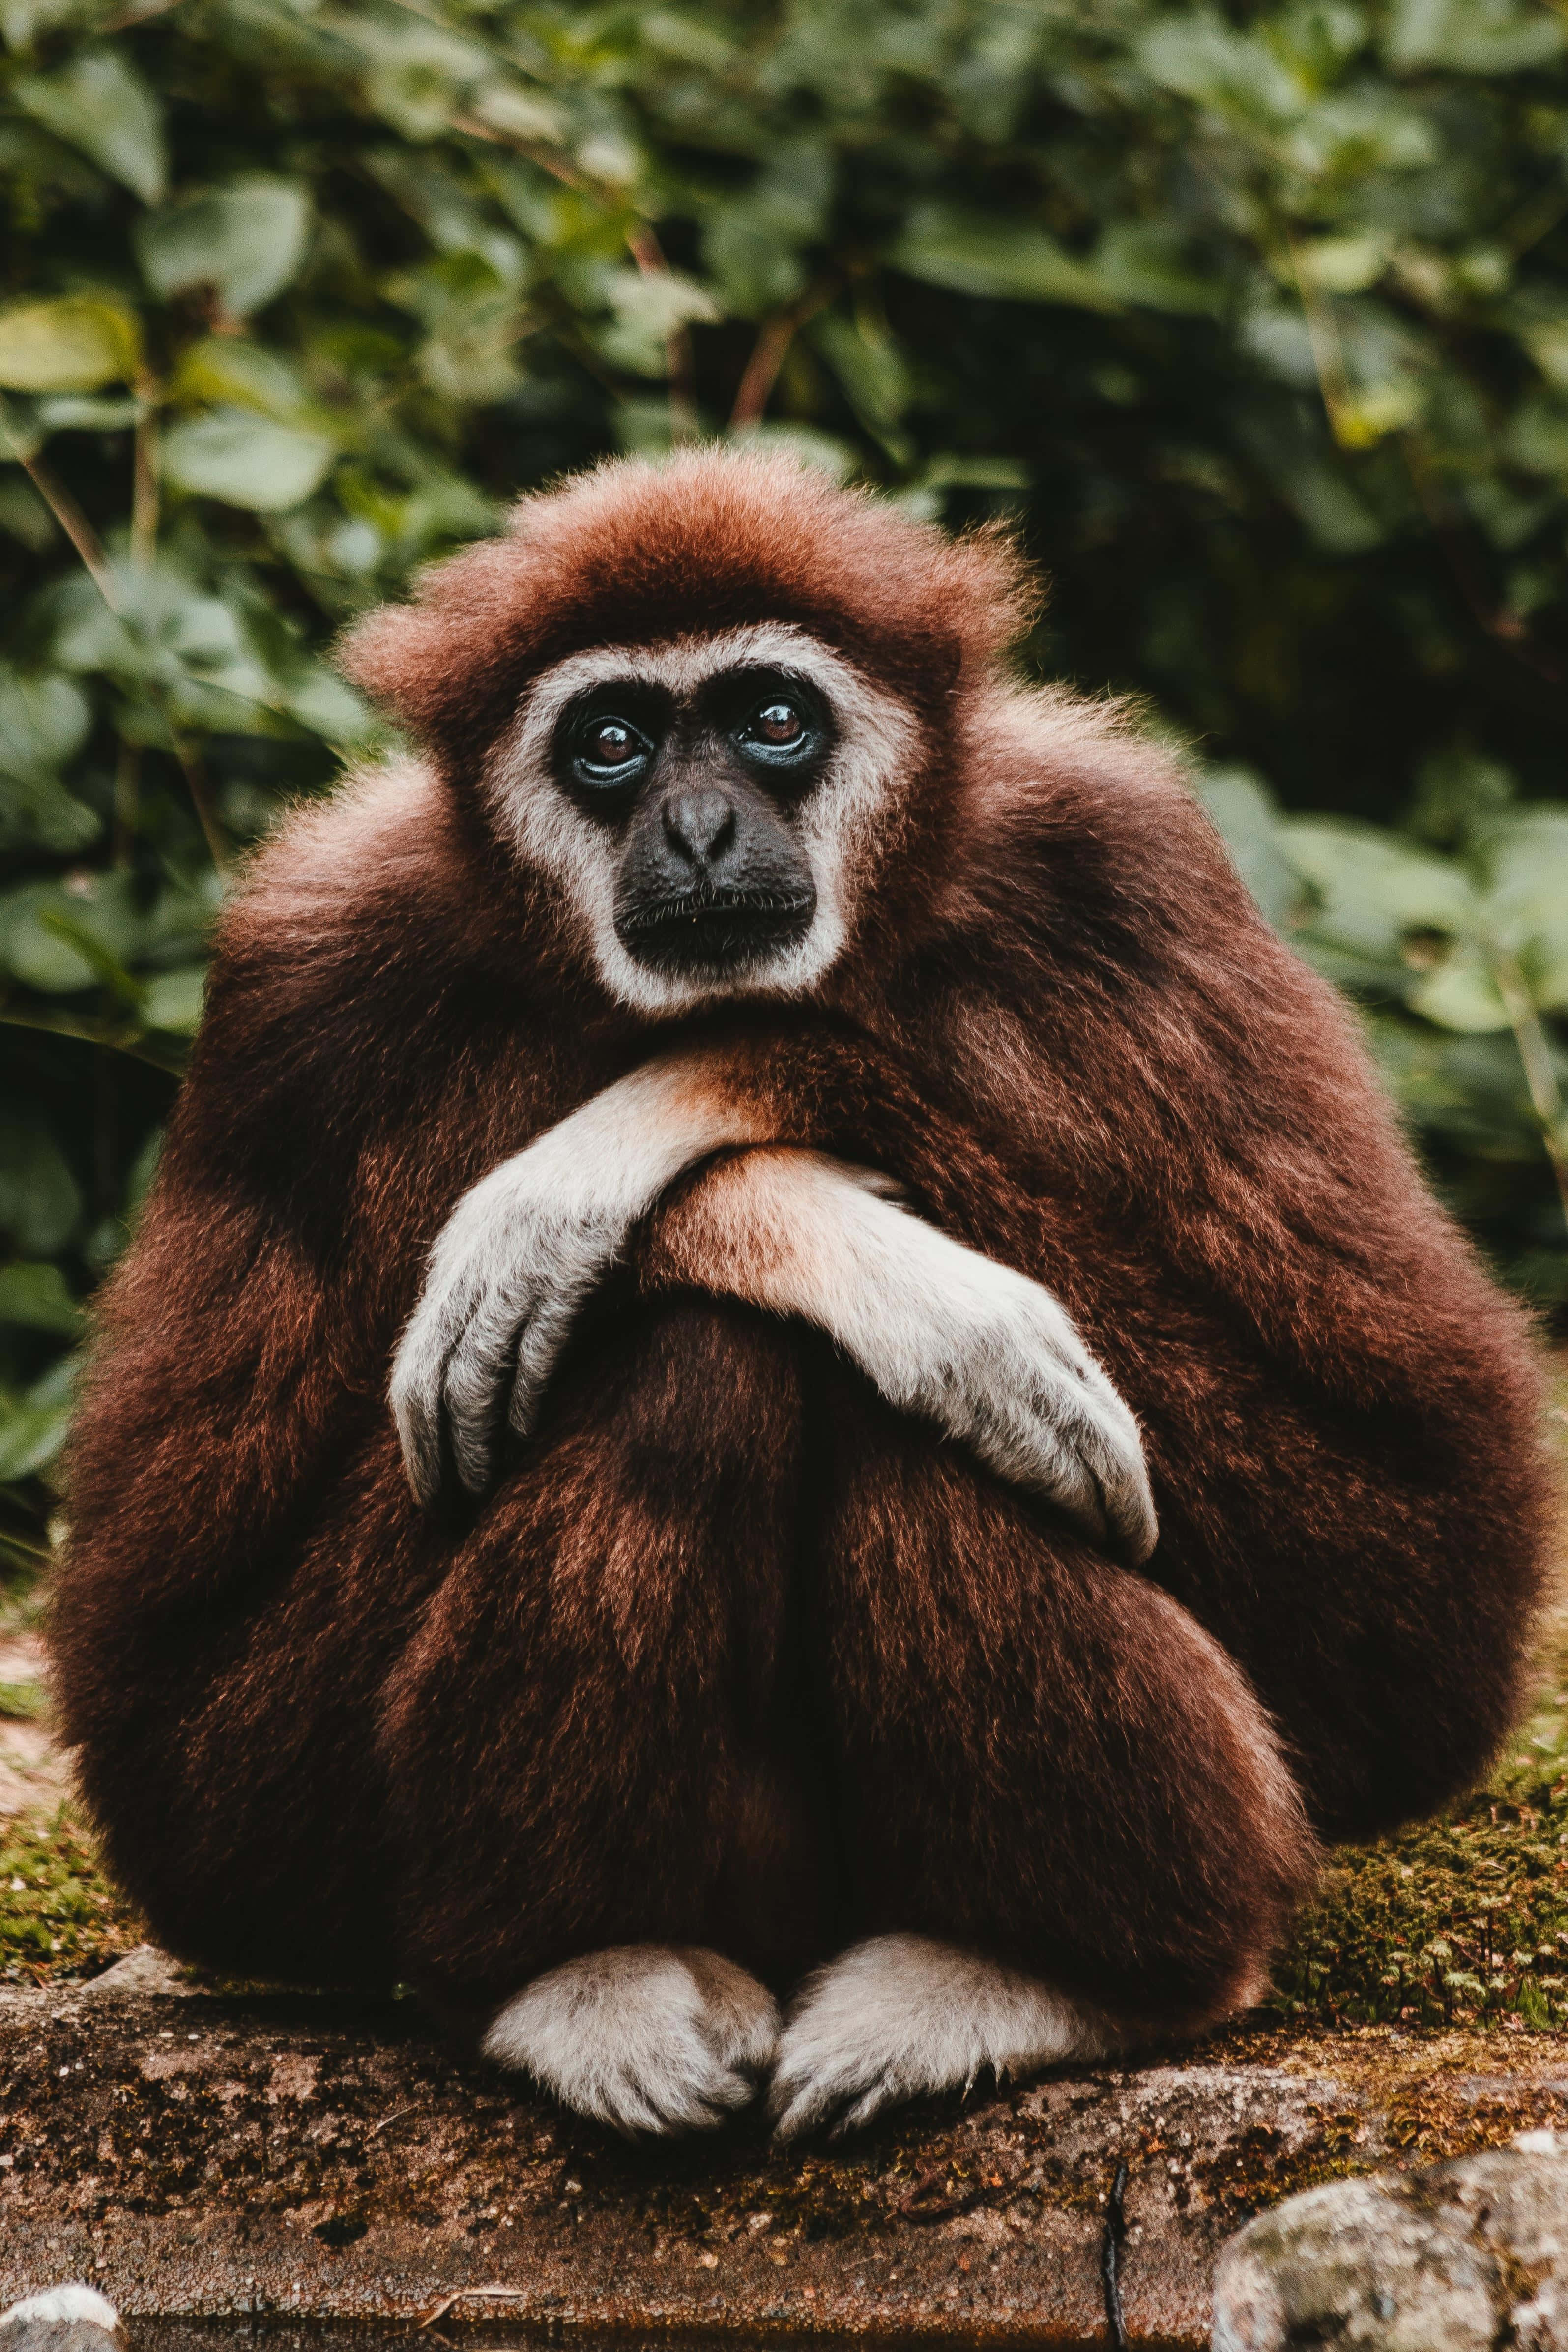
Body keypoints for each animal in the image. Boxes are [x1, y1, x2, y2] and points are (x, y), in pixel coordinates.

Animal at [51, 448, 1551, 2141]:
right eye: (611, 743)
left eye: (773, 717)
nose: (702, 827)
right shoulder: (295, 988)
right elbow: (179, 1744)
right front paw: (767, 1209)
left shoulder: (1133, 879)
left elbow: (1419, 1579)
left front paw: (680, 1112)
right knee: (696, 1355)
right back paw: (582, 1969)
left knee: (921, 1403)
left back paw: (1045, 1973)